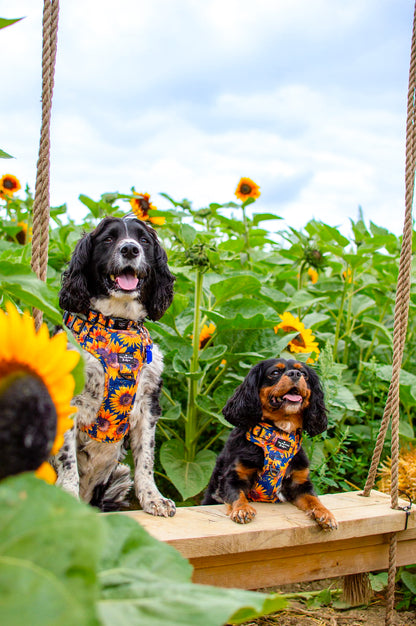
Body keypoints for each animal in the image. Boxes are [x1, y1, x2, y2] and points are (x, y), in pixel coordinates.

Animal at [52, 212, 176, 516]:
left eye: (144, 240)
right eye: (108, 238)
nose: (130, 249)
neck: (116, 325)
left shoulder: (147, 405)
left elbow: (146, 460)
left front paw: (154, 499)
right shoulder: (68, 402)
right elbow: (68, 462)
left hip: (117, 477)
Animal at [202, 356, 338, 528]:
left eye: (304, 374)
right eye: (274, 372)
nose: (295, 374)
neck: (279, 437)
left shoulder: (300, 483)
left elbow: (314, 499)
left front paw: (325, 514)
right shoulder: (233, 476)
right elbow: (237, 495)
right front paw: (242, 509)